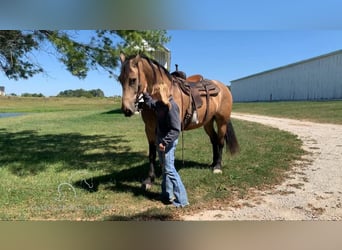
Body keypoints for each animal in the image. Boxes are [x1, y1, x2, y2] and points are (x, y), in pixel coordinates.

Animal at [119, 53, 239, 189]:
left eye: (133, 79)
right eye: (120, 79)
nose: (127, 110)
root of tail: (223, 87)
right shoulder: (149, 128)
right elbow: (152, 153)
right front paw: (149, 179)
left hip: (221, 121)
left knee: (220, 142)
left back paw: (217, 167)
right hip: (207, 122)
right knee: (213, 141)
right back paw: (213, 163)